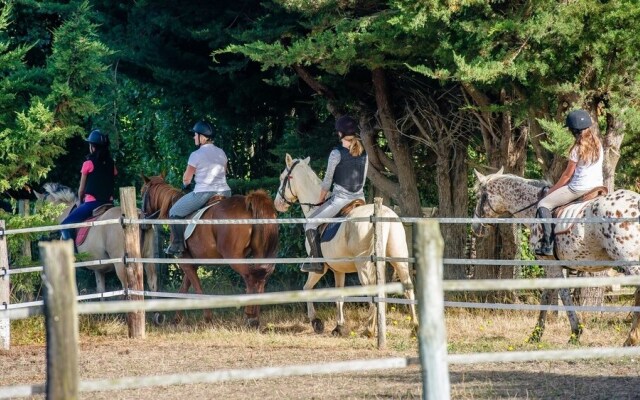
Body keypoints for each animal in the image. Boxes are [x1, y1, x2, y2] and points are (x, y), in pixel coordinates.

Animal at [141, 175, 278, 328]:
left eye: (142, 192)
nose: (144, 224)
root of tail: (248, 204)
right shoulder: (191, 262)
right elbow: (184, 289)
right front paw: (176, 319)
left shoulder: (185, 262)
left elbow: (197, 290)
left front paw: (207, 318)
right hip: (260, 255)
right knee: (261, 279)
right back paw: (256, 317)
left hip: (234, 257)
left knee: (250, 278)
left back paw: (250, 316)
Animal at [272, 155, 418, 336]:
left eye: (282, 178)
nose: (277, 204)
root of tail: (384, 214)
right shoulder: (338, 269)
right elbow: (339, 296)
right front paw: (339, 326)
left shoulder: (320, 268)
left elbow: (307, 289)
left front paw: (316, 322)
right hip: (399, 260)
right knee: (408, 288)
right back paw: (414, 327)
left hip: (364, 266)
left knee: (373, 291)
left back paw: (369, 329)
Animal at [470, 167, 640, 346]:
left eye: (478, 196)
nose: (475, 228)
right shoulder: (552, 266)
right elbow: (548, 294)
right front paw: (538, 334)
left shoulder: (550, 264)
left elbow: (560, 295)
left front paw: (573, 333)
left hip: (630, 262)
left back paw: (630, 339)